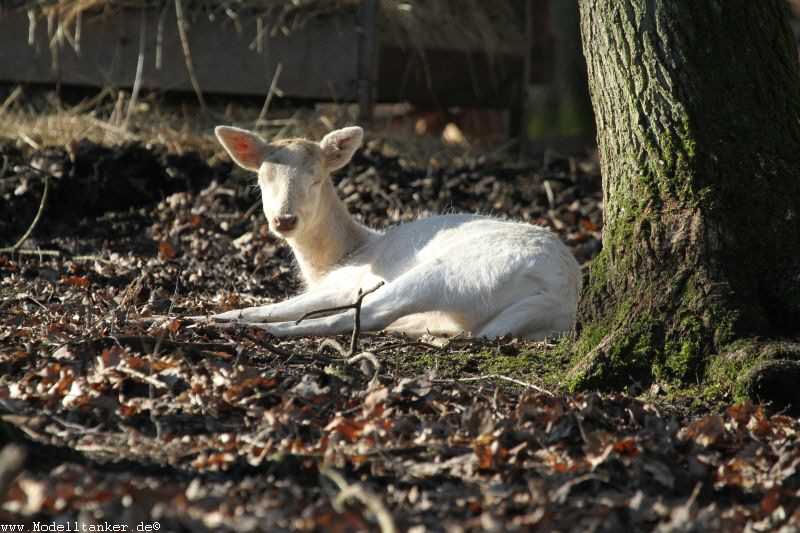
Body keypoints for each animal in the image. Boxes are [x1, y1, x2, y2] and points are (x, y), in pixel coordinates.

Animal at [202, 125, 580, 340]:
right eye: (262, 179)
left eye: (316, 178)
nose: (284, 220)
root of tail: (561, 296)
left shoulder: (348, 283)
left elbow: (270, 306)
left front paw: (204, 317)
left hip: (459, 272)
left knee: (362, 316)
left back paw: (246, 329)